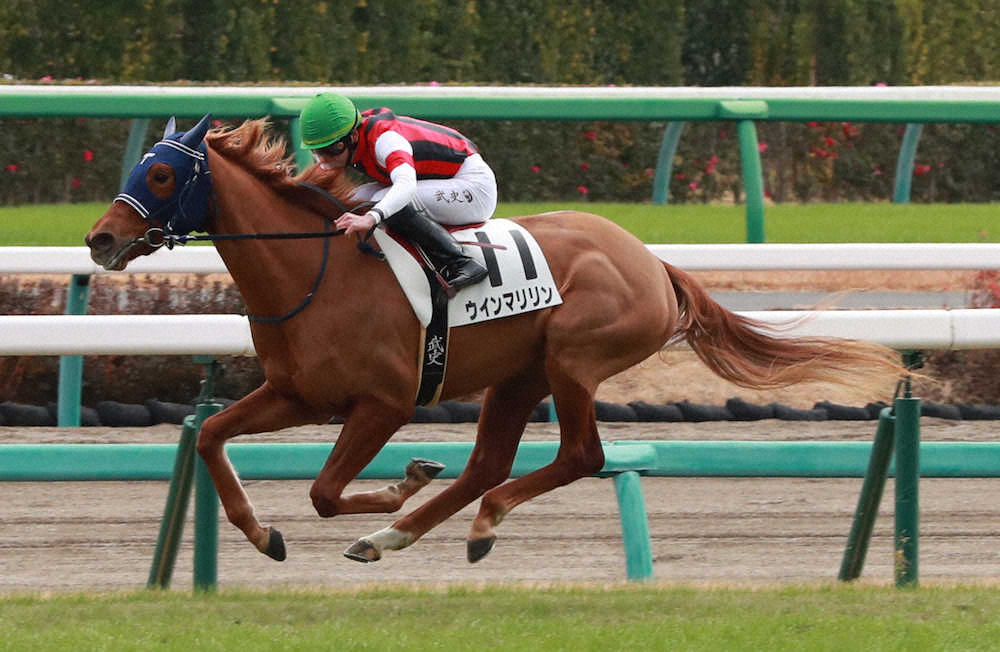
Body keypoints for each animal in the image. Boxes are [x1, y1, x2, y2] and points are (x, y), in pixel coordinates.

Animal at [86, 115, 905, 566]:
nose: (100, 239)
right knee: (487, 464)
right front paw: (263, 534)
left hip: (574, 360)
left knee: (579, 457)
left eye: (161, 175)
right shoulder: (297, 393)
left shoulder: (383, 402)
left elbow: (324, 492)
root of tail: (651, 261)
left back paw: (464, 522)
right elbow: (209, 437)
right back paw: (399, 536)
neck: (310, 270)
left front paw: (398, 484)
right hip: (520, 373)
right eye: (142, 167)